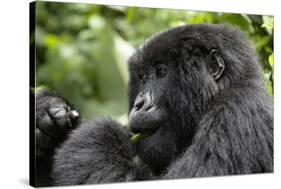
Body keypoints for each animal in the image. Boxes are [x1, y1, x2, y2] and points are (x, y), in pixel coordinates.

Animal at [32, 23, 272, 186]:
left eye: (162, 72)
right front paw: (46, 112)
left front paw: (97, 136)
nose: (139, 104)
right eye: (143, 76)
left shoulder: (237, 114)